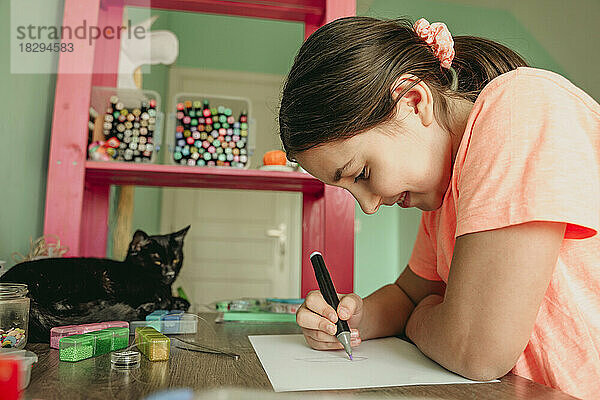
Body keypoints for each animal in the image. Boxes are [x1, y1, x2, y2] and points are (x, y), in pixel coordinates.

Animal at [0, 227, 191, 342]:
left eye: (175, 260)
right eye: (157, 261)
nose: (170, 273)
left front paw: (179, 302)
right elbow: (163, 300)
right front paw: (160, 303)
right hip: (89, 277)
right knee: (63, 306)